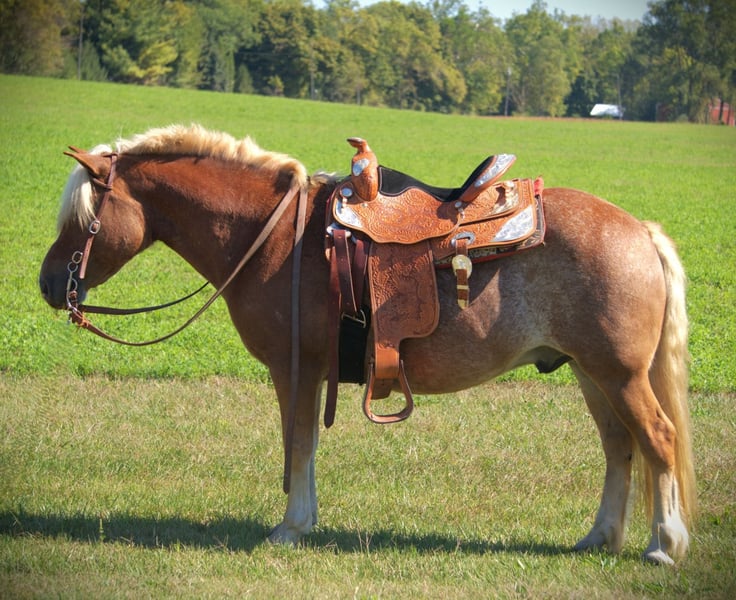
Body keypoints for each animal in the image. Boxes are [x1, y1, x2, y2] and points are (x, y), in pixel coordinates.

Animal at [39, 124, 695, 565]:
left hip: (619, 374)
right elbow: (303, 446)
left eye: (83, 218)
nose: (48, 283)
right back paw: (600, 537)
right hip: (591, 372)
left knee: (657, 439)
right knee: (619, 448)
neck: (272, 238)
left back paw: (664, 545)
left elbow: (299, 444)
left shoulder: (296, 369)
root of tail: (640, 231)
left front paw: (292, 527)